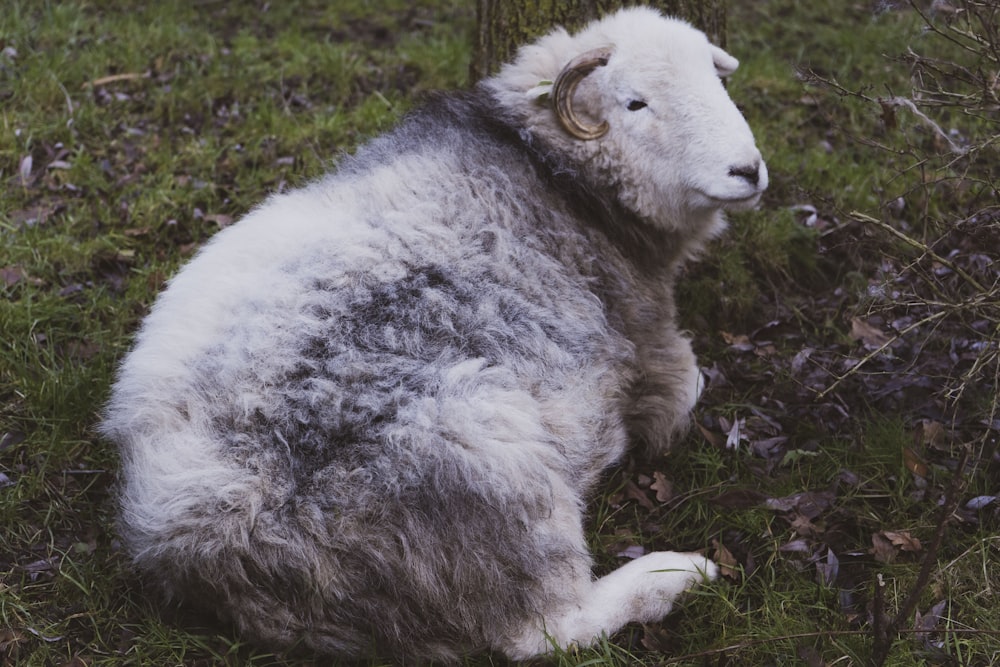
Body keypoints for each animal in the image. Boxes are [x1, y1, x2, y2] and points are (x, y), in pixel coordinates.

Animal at [101, 5, 768, 664]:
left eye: (717, 81)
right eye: (635, 103)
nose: (748, 170)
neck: (550, 172)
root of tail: (202, 533)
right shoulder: (650, 341)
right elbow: (684, 389)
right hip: (489, 460)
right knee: (543, 630)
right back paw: (677, 573)